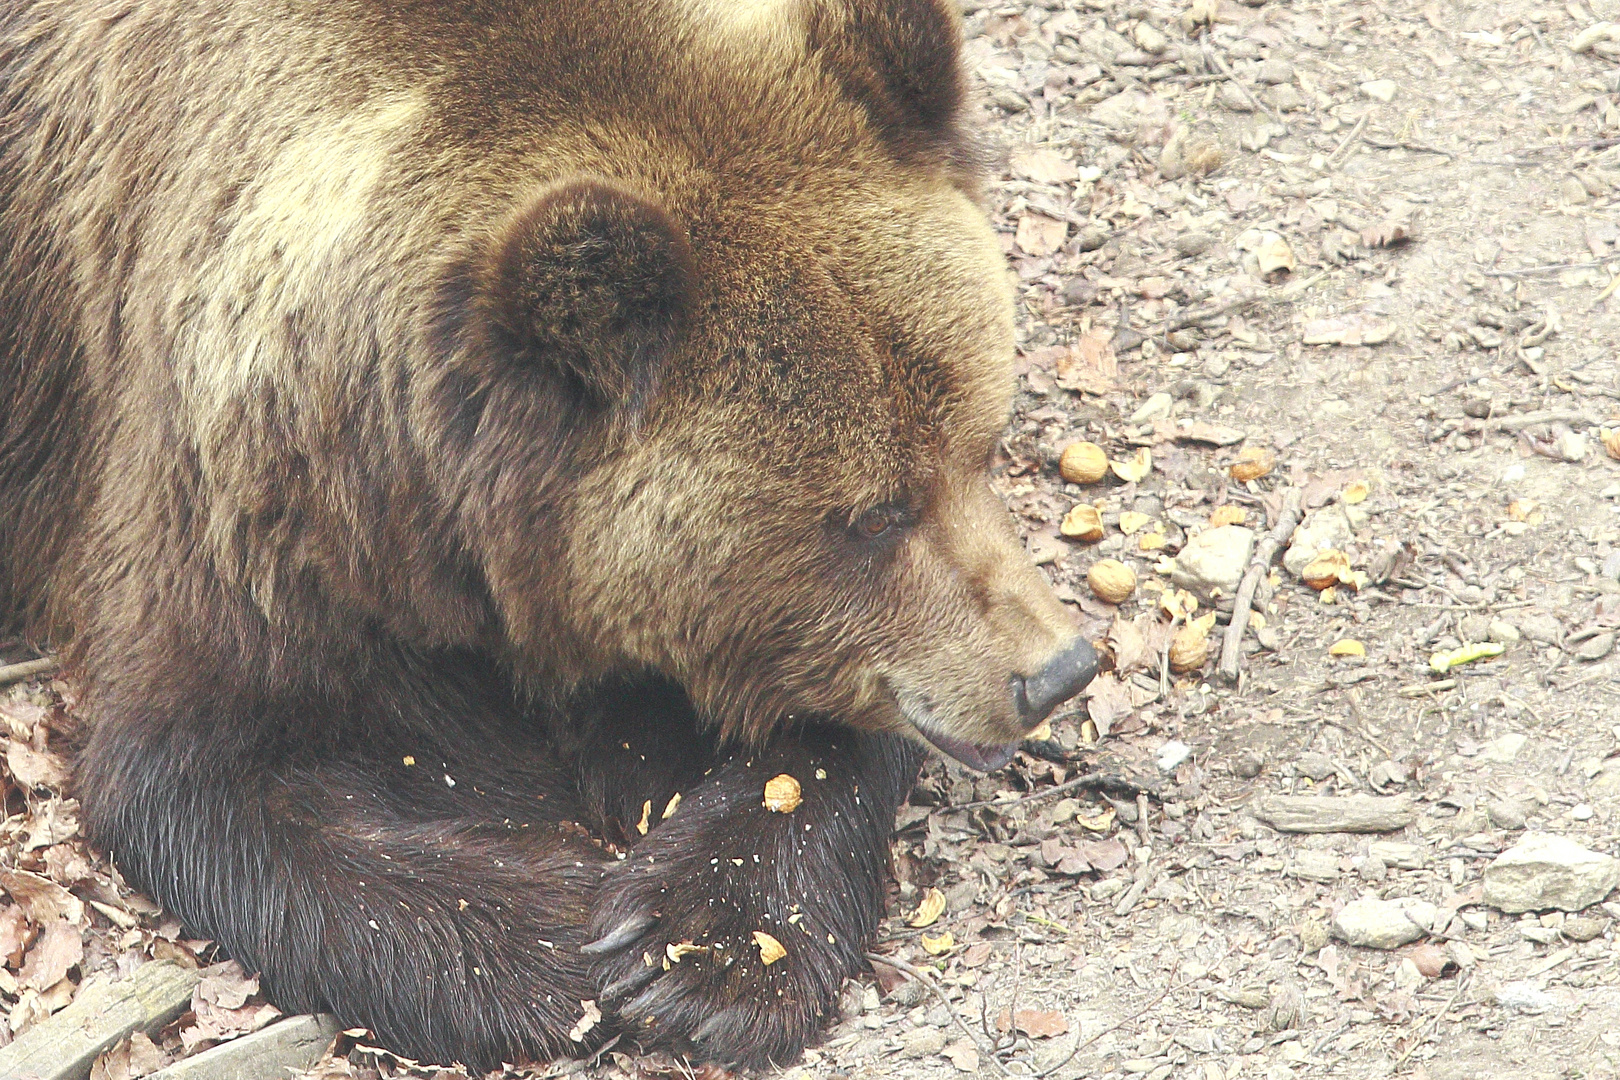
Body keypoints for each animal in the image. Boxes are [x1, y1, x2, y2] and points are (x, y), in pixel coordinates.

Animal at [0, 0, 1101, 1068]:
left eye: (981, 444)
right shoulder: (242, 515)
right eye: (873, 512)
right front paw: (560, 944)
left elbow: (822, 740)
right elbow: (210, 776)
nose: (1054, 670)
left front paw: (699, 948)